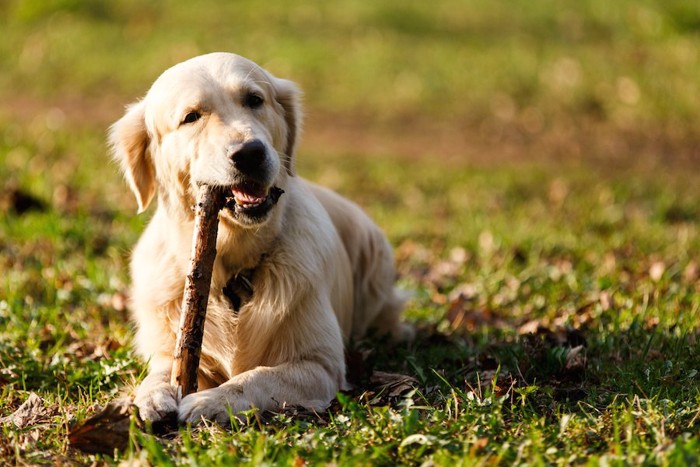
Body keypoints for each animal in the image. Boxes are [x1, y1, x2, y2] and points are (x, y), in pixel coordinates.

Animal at [110, 53, 412, 426]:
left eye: (254, 100)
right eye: (191, 117)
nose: (249, 153)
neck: (232, 263)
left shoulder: (319, 365)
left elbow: (256, 377)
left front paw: (210, 402)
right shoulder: (169, 344)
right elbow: (164, 369)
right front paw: (152, 395)